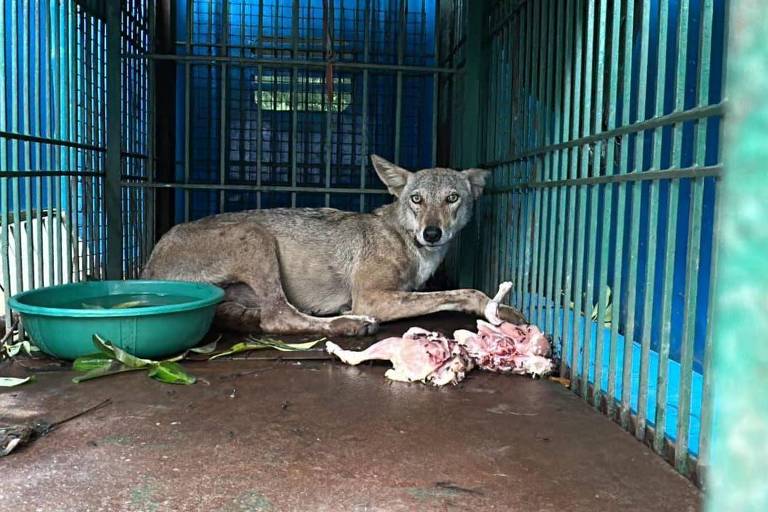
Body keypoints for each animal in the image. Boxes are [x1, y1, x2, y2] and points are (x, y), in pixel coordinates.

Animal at [141, 158, 528, 338]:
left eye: (452, 198)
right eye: (416, 199)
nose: (432, 233)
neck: (407, 242)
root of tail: (149, 264)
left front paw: (504, 311)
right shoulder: (372, 298)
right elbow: (463, 292)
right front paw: (495, 309)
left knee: (261, 316)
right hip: (255, 236)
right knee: (277, 317)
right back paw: (349, 324)